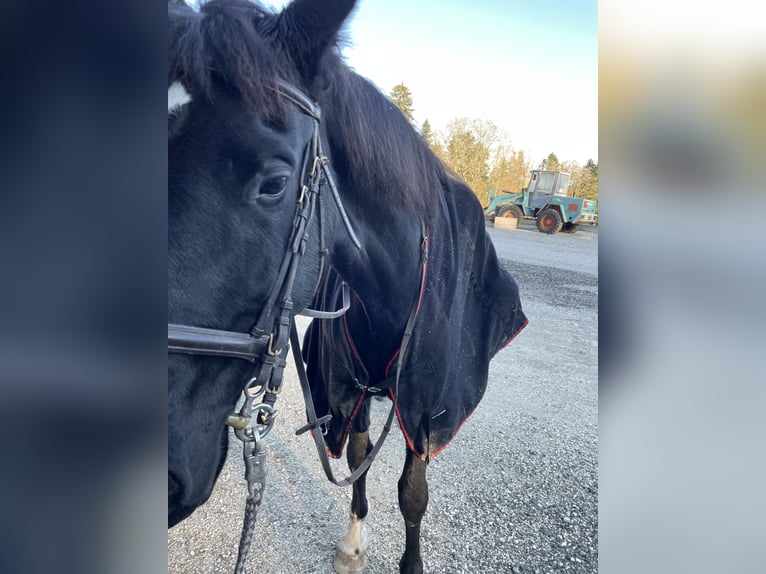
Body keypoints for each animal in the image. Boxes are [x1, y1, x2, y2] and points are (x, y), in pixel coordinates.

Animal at [168, 2, 528, 572]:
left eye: (275, 182)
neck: (391, 298)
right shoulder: (346, 390)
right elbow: (358, 456)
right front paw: (354, 542)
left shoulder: (426, 411)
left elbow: (412, 493)